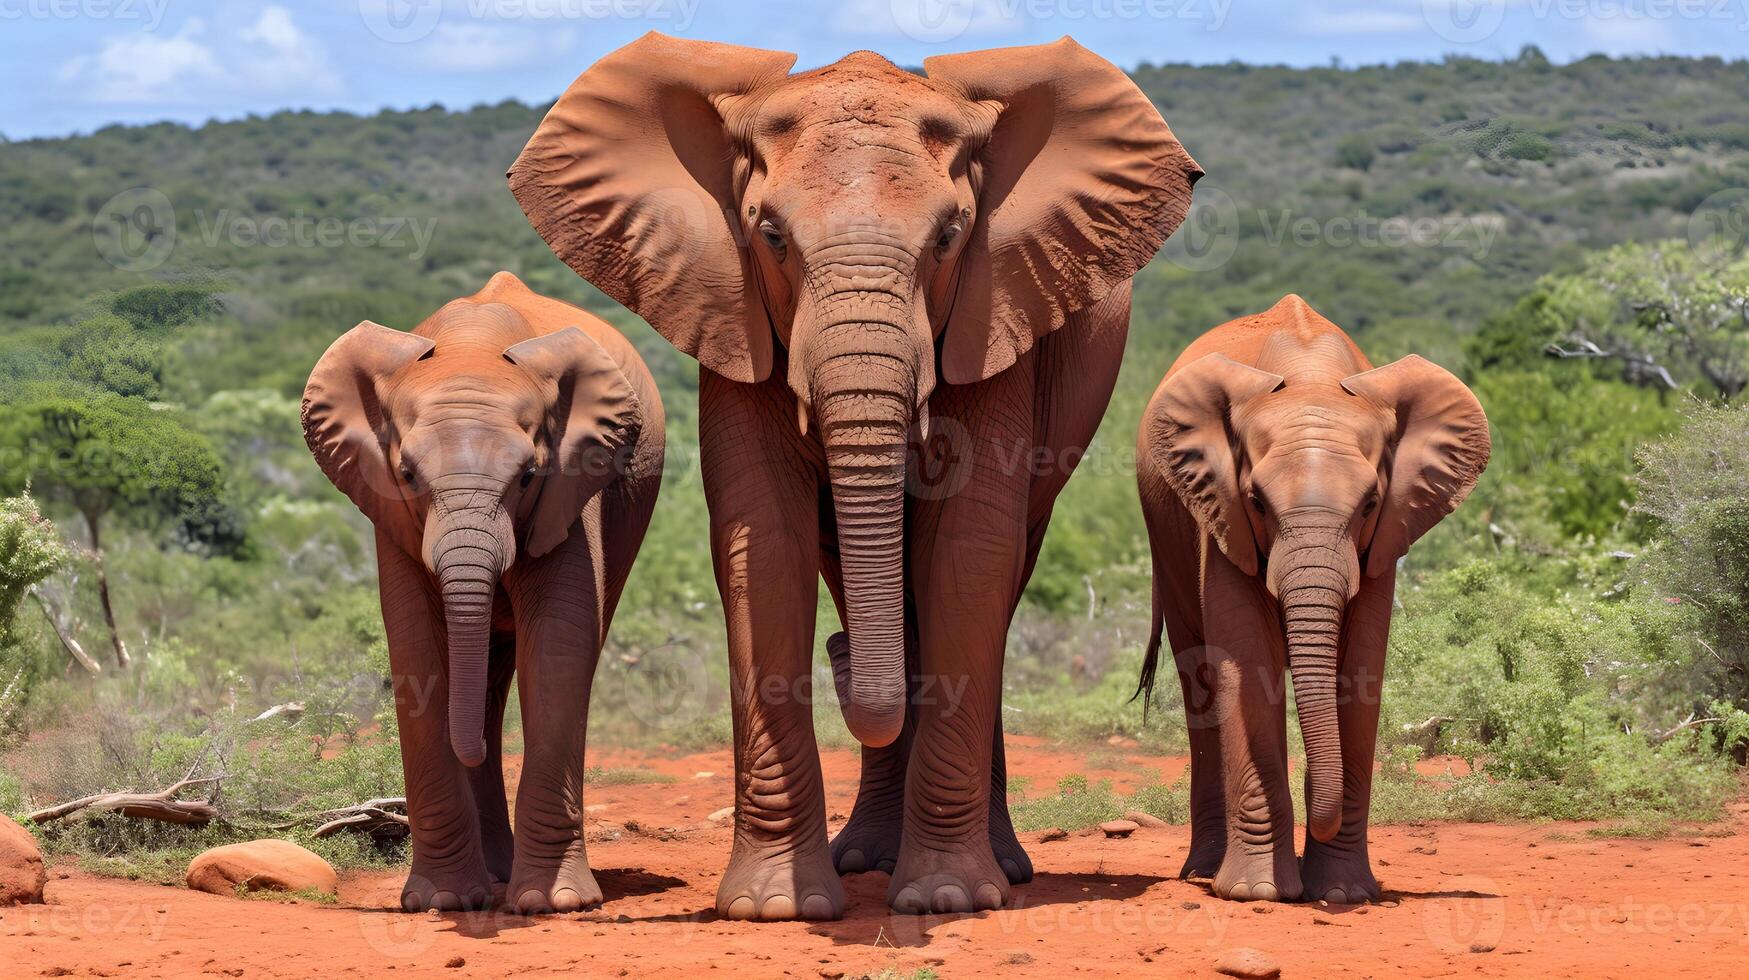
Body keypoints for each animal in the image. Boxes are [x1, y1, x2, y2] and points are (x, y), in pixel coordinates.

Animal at [300, 271, 661, 917]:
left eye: (527, 477)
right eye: (409, 475)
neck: (472, 347)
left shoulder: (573, 490)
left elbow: (560, 647)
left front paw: (552, 903)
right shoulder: (390, 509)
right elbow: (416, 644)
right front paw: (443, 899)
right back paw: (491, 873)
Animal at [507, 32, 1203, 917]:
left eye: (949, 236)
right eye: (769, 236)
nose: (842, 657)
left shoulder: (994, 313)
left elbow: (969, 554)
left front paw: (946, 898)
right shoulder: (731, 314)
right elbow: (763, 545)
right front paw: (776, 906)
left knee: (1001, 572)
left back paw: (997, 868)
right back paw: (867, 855)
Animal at [1133, 294, 1490, 910]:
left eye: (1370, 502)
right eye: (1256, 500)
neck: (1309, 377)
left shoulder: (1384, 536)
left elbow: (1361, 664)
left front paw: (1343, 893)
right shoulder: (1221, 511)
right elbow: (1246, 663)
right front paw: (1256, 893)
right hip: (1167, 527)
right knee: (1197, 677)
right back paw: (1204, 872)